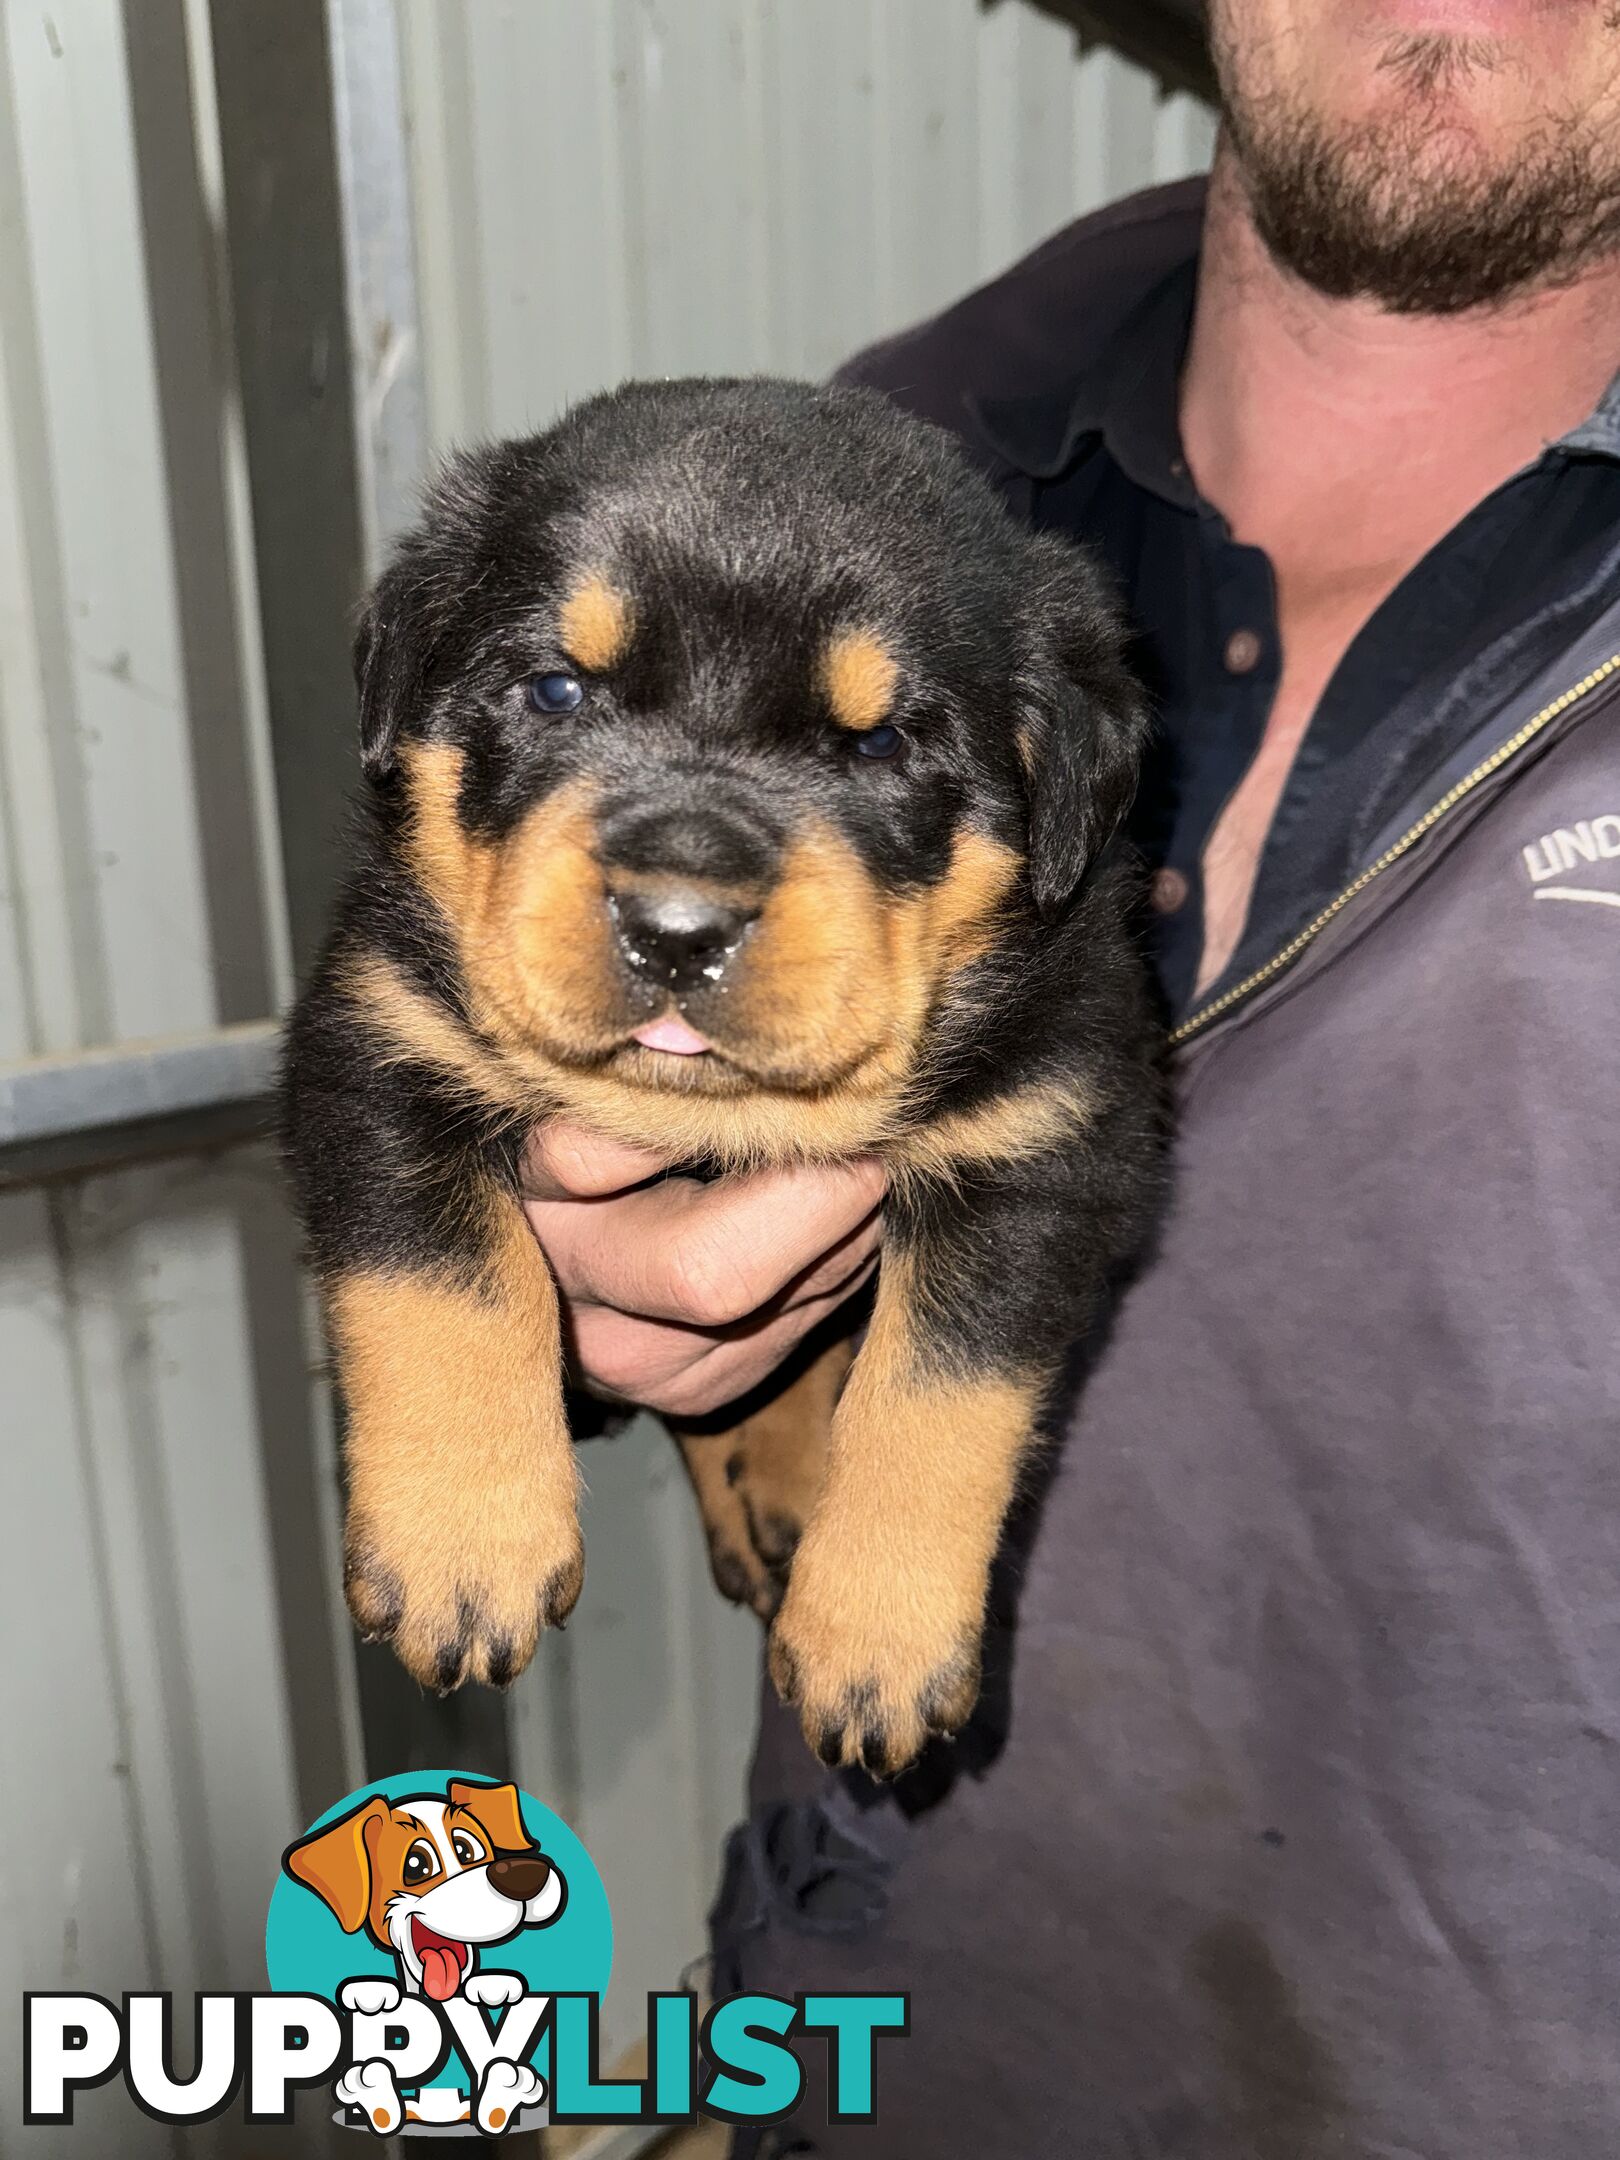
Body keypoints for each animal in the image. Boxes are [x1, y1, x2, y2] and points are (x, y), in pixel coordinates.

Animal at [282, 380, 1166, 1779]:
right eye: (554, 689)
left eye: (880, 744)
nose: (678, 924)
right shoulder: (378, 1038)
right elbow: (448, 1273)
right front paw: (461, 1547)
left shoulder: (1047, 1140)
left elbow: (939, 1393)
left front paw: (879, 1641)